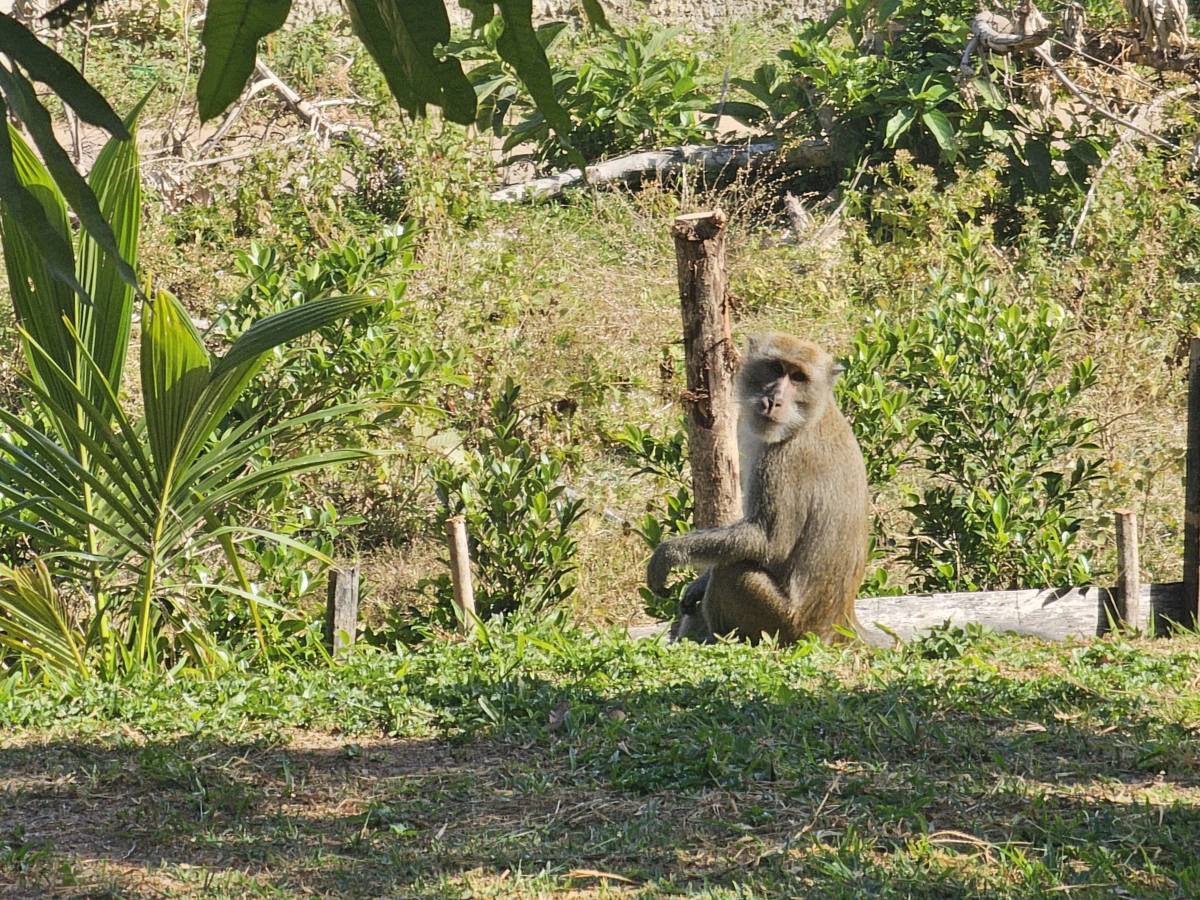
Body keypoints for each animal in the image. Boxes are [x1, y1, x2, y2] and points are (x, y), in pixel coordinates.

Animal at [649, 333, 869, 645]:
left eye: (798, 377)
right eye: (776, 368)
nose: (774, 400)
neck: (807, 418)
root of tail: (841, 624)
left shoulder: (781, 462)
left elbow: (769, 542)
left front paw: (668, 553)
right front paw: (696, 584)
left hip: (784, 625)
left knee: (733, 571)